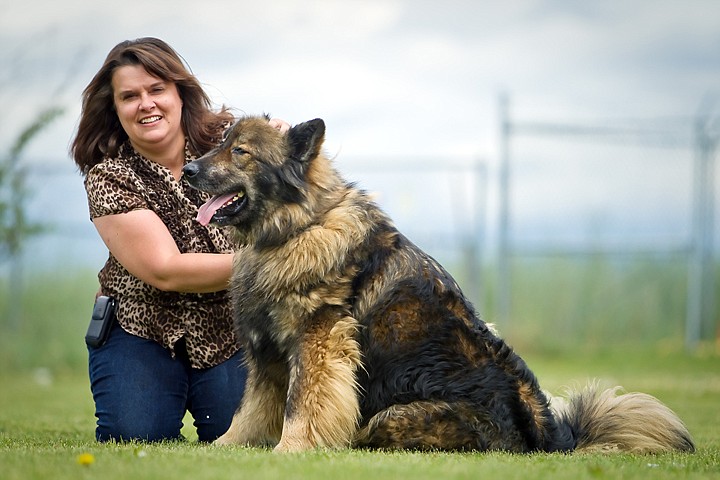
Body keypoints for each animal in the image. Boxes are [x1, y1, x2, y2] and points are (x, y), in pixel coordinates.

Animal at [183, 116, 696, 454]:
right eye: (221, 142)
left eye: (240, 152)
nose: (188, 170)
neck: (297, 228)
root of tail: (550, 438)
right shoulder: (268, 349)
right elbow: (251, 408)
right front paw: (226, 447)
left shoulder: (318, 341)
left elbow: (301, 405)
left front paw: (291, 450)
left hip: (392, 415)